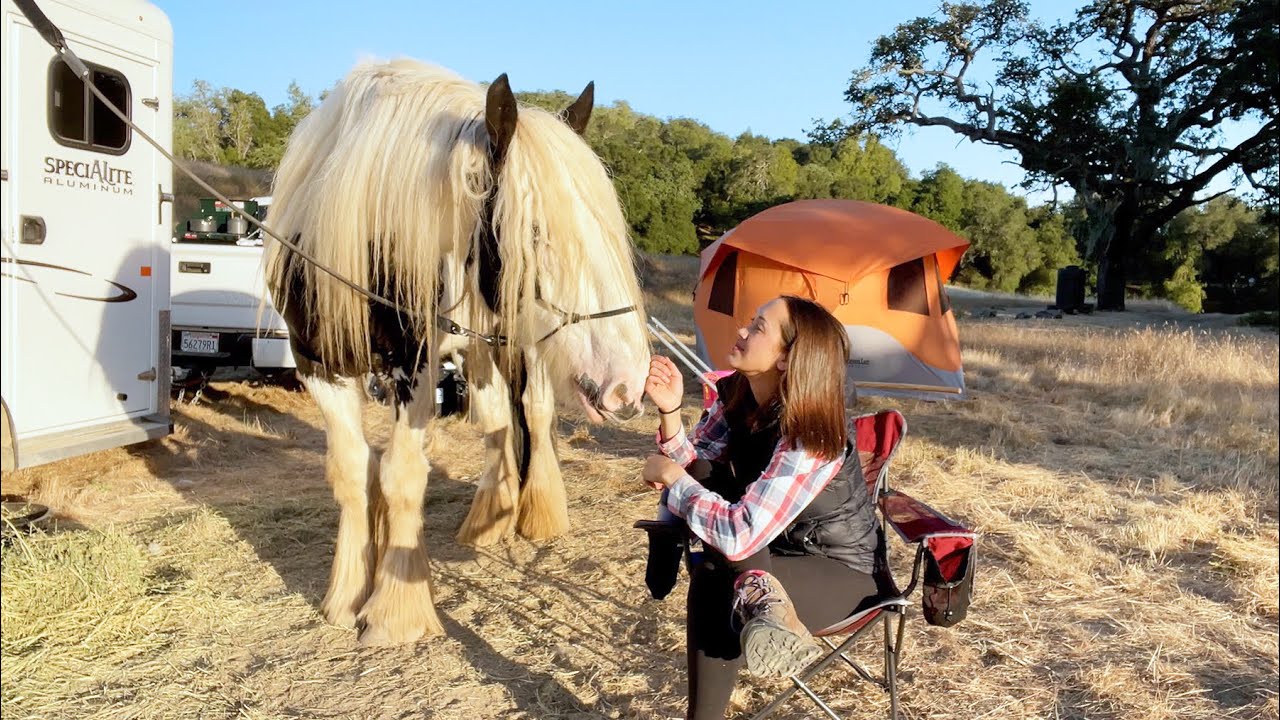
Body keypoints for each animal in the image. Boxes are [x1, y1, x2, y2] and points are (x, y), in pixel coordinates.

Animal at [264, 59, 649, 646]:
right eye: (535, 233)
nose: (631, 381)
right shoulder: (320, 368)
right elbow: (352, 471)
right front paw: (347, 596)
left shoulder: (419, 371)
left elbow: (402, 475)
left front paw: (394, 613)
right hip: (480, 351)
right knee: (497, 424)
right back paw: (490, 516)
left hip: (523, 350)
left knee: (533, 415)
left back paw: (536, 513)